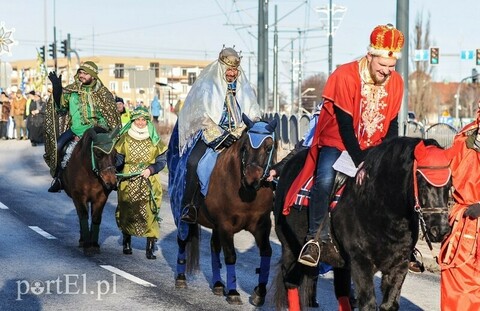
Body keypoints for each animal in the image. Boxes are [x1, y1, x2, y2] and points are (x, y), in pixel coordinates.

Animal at [60, 127, 117, 256]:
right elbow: (83, 215)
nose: (111, 182)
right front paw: (87, 244)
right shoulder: (78, 196)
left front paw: (94, 244)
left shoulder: (101, 197)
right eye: (98, 154)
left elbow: (96, 217)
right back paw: (82, 240)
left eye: (115, 154)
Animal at [274, 138, 450, 311]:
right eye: (423, 183)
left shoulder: (399, 265)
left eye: (449, 186)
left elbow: (389, 304)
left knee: (341, 292)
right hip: (290, 249)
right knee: (290, 283)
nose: (441, 229)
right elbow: (368, 304)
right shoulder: (361, 263)